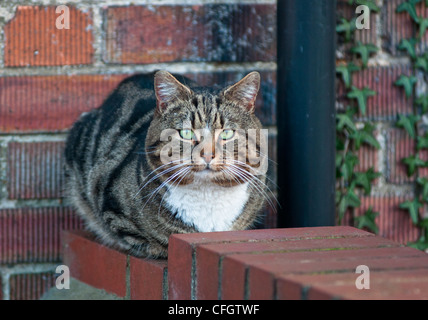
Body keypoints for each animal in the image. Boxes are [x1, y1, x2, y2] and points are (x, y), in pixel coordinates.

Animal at [65, 70, 270, 258]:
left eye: (226, 133)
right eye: (186, 133)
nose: (207, 154)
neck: (207, 193)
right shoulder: (113, 210)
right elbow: (150, 241)